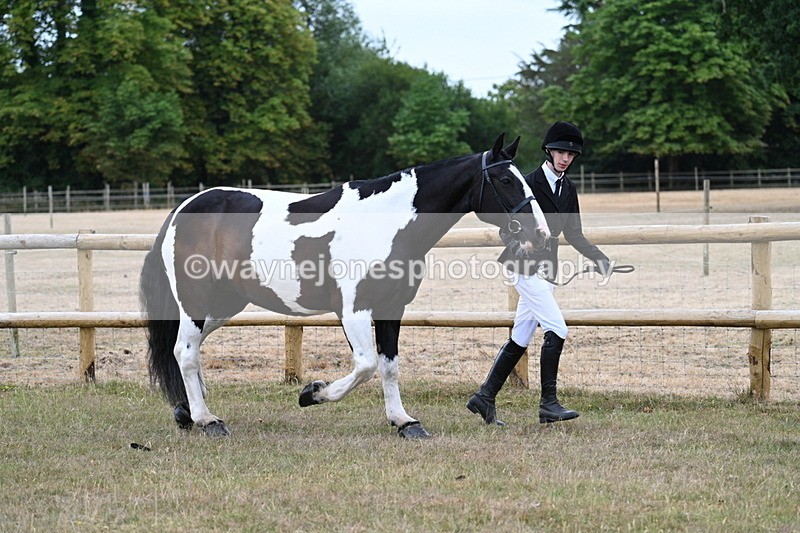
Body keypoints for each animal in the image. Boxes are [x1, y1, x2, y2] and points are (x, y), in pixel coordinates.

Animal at [139, 133, 550, 439]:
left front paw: (404, 422)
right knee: (185, 352)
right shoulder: (353, 310)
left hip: (225, 304)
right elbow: (366, 365)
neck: (385, 223)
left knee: (186, 350)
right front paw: (312, 394)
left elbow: (388, 366)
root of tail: (180, 211)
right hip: (197, 301)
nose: (541, 235)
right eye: (506, 180)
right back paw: (207, 420)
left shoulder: (391, 308)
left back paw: (187, 412)